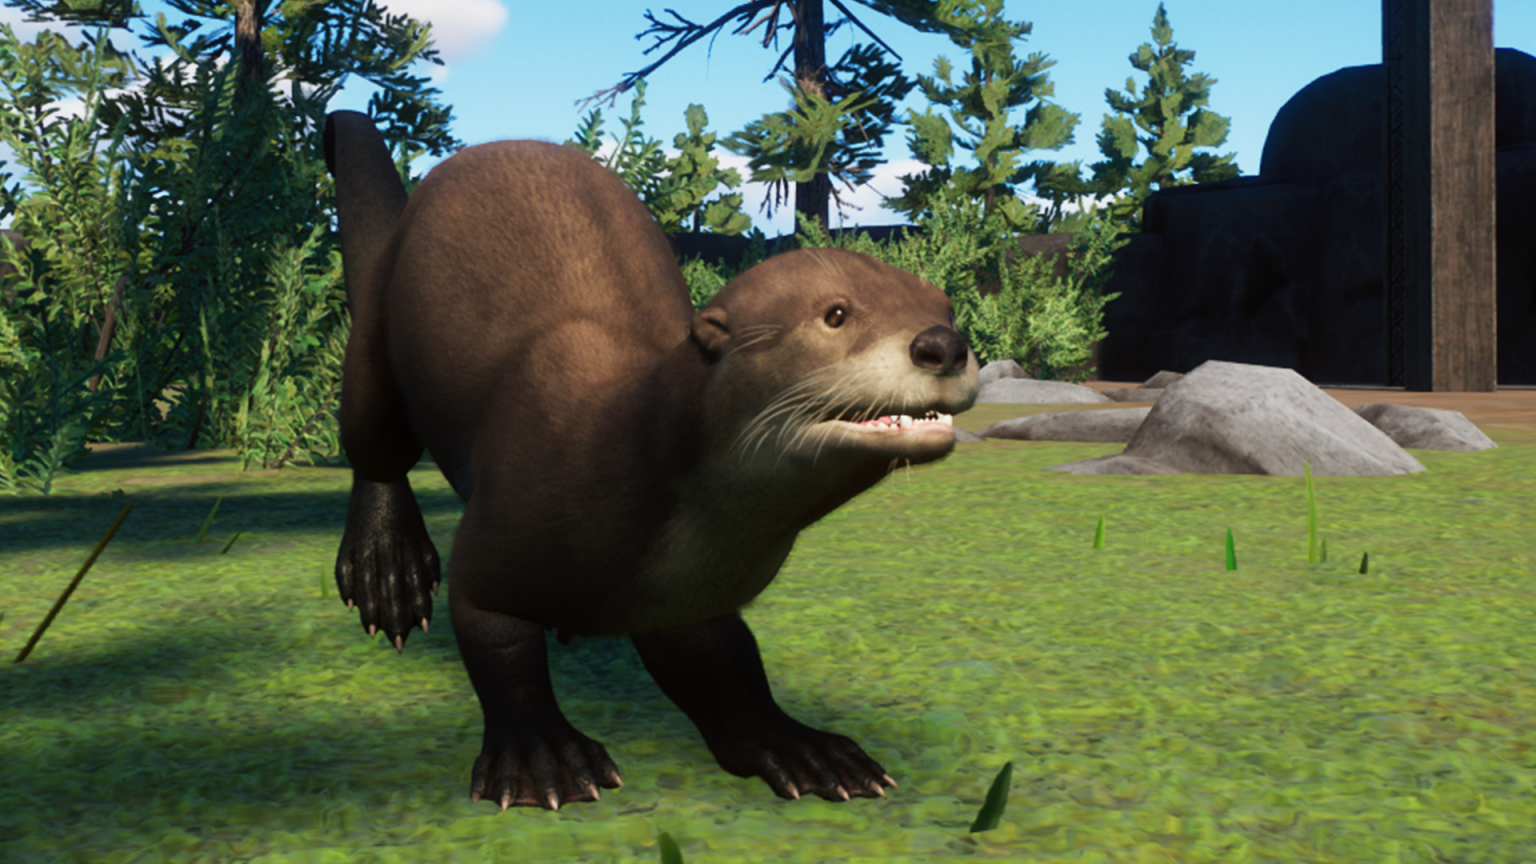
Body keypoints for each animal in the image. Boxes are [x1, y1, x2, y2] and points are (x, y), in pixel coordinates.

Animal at [323, 110, 978, 811]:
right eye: (836, 315)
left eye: (945, 307)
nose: (944, 344)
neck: (625, 451)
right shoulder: (504, 533)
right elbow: (495, 636)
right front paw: (540, 753)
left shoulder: (687, 591)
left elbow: (727, 662)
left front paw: (798, 745)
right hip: (376, 340)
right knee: (375, 448)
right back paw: (387, 571)